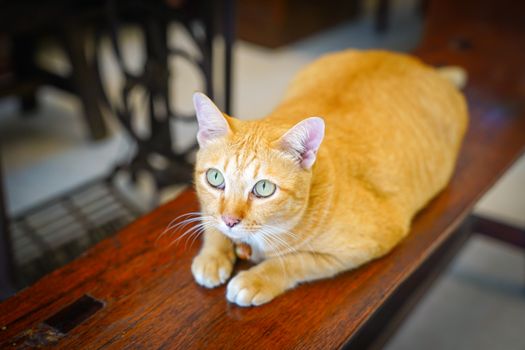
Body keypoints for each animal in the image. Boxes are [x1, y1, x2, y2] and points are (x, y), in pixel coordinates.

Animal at [188, 49, 466, 306]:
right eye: (215, 178)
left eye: (264, 188)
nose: (230, 221)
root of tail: (417, 63)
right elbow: (210, 221)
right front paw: (212, 256)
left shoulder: (361, 246)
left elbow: (294, 261)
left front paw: (256, 279)